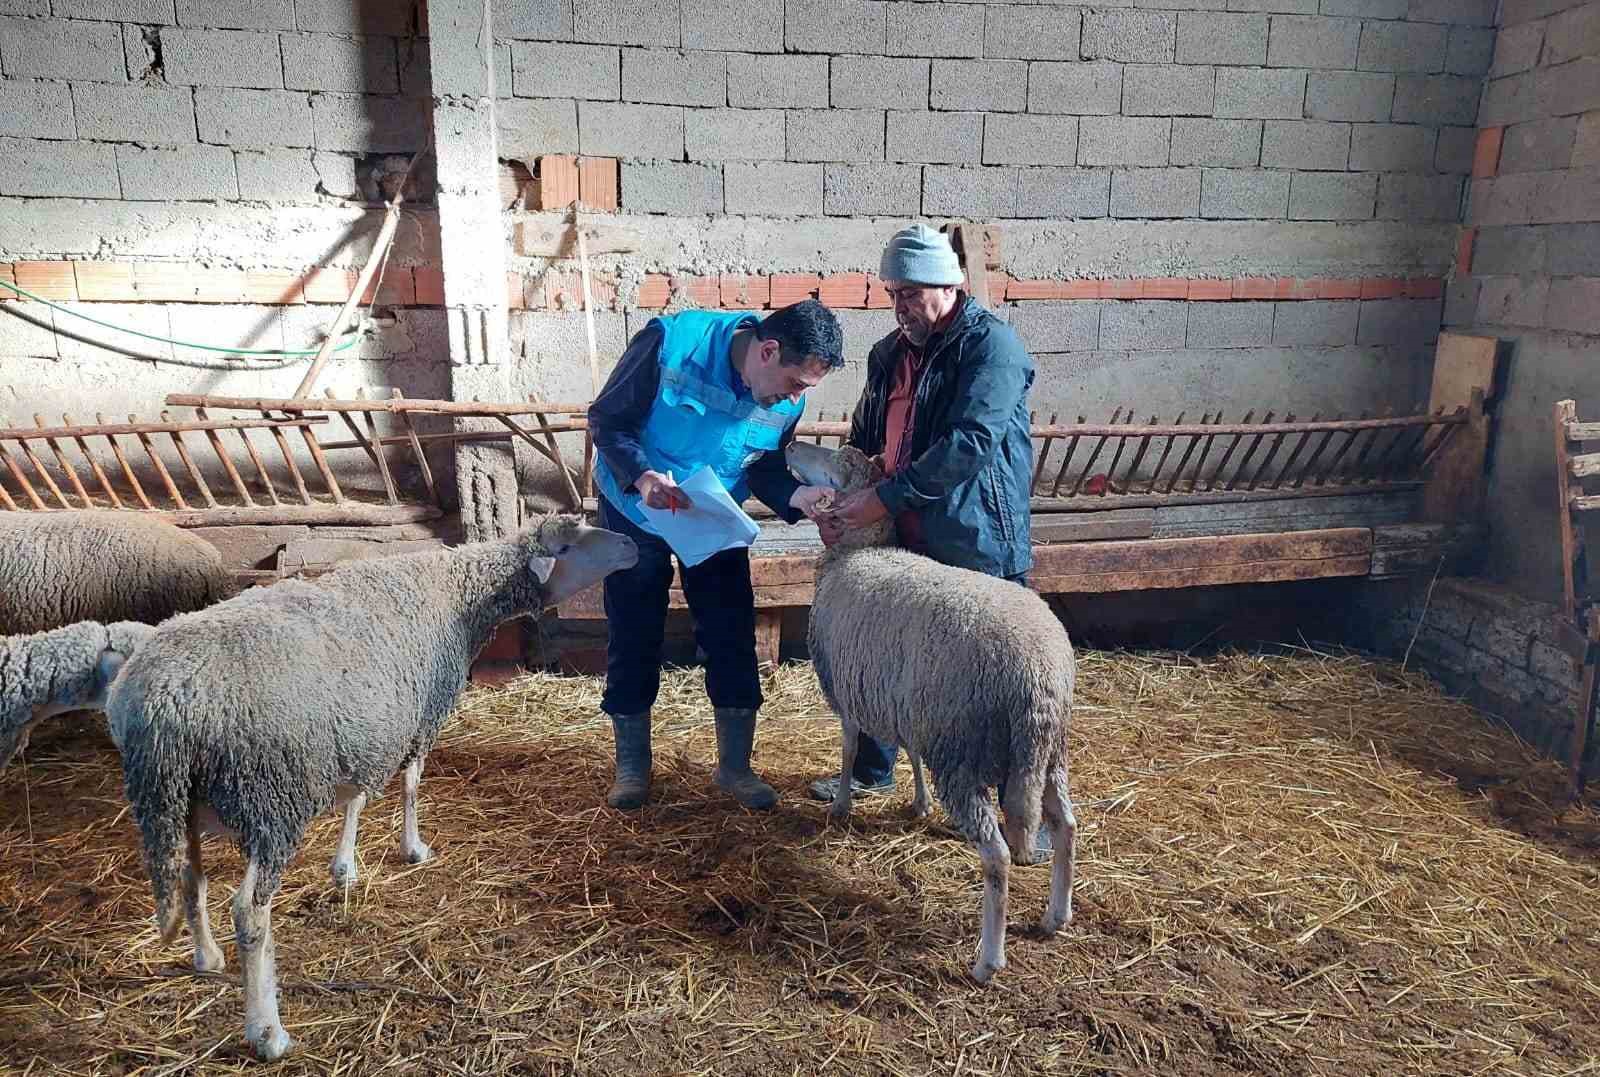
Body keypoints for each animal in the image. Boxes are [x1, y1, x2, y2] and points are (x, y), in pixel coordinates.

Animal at [18, 512, 633, 1056]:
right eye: (572, 543)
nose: (630, 544)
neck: (459, 594)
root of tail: (158, 710)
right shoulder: (419, 716)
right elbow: (410, 785)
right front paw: (413, 848)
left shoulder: (365, 727)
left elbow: (357, 796)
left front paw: (345, 866)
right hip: (270, 796)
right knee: (250, 913)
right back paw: (267, 1032)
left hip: (175, 802)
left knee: (189, 878)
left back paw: (207, 958)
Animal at [784, 435, 1081, 985]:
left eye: (836, 459)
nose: (790, 443)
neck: (860, 551)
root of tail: (1040, 675)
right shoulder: (907, 698)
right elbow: (909, 751)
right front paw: (919, 803)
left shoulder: (852, 690)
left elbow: (850, 748)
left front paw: (841, 804)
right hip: (1048, 752)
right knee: (1067, 826)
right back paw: (1056, 916)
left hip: (964, 750)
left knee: (998, 855)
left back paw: (987, 960)